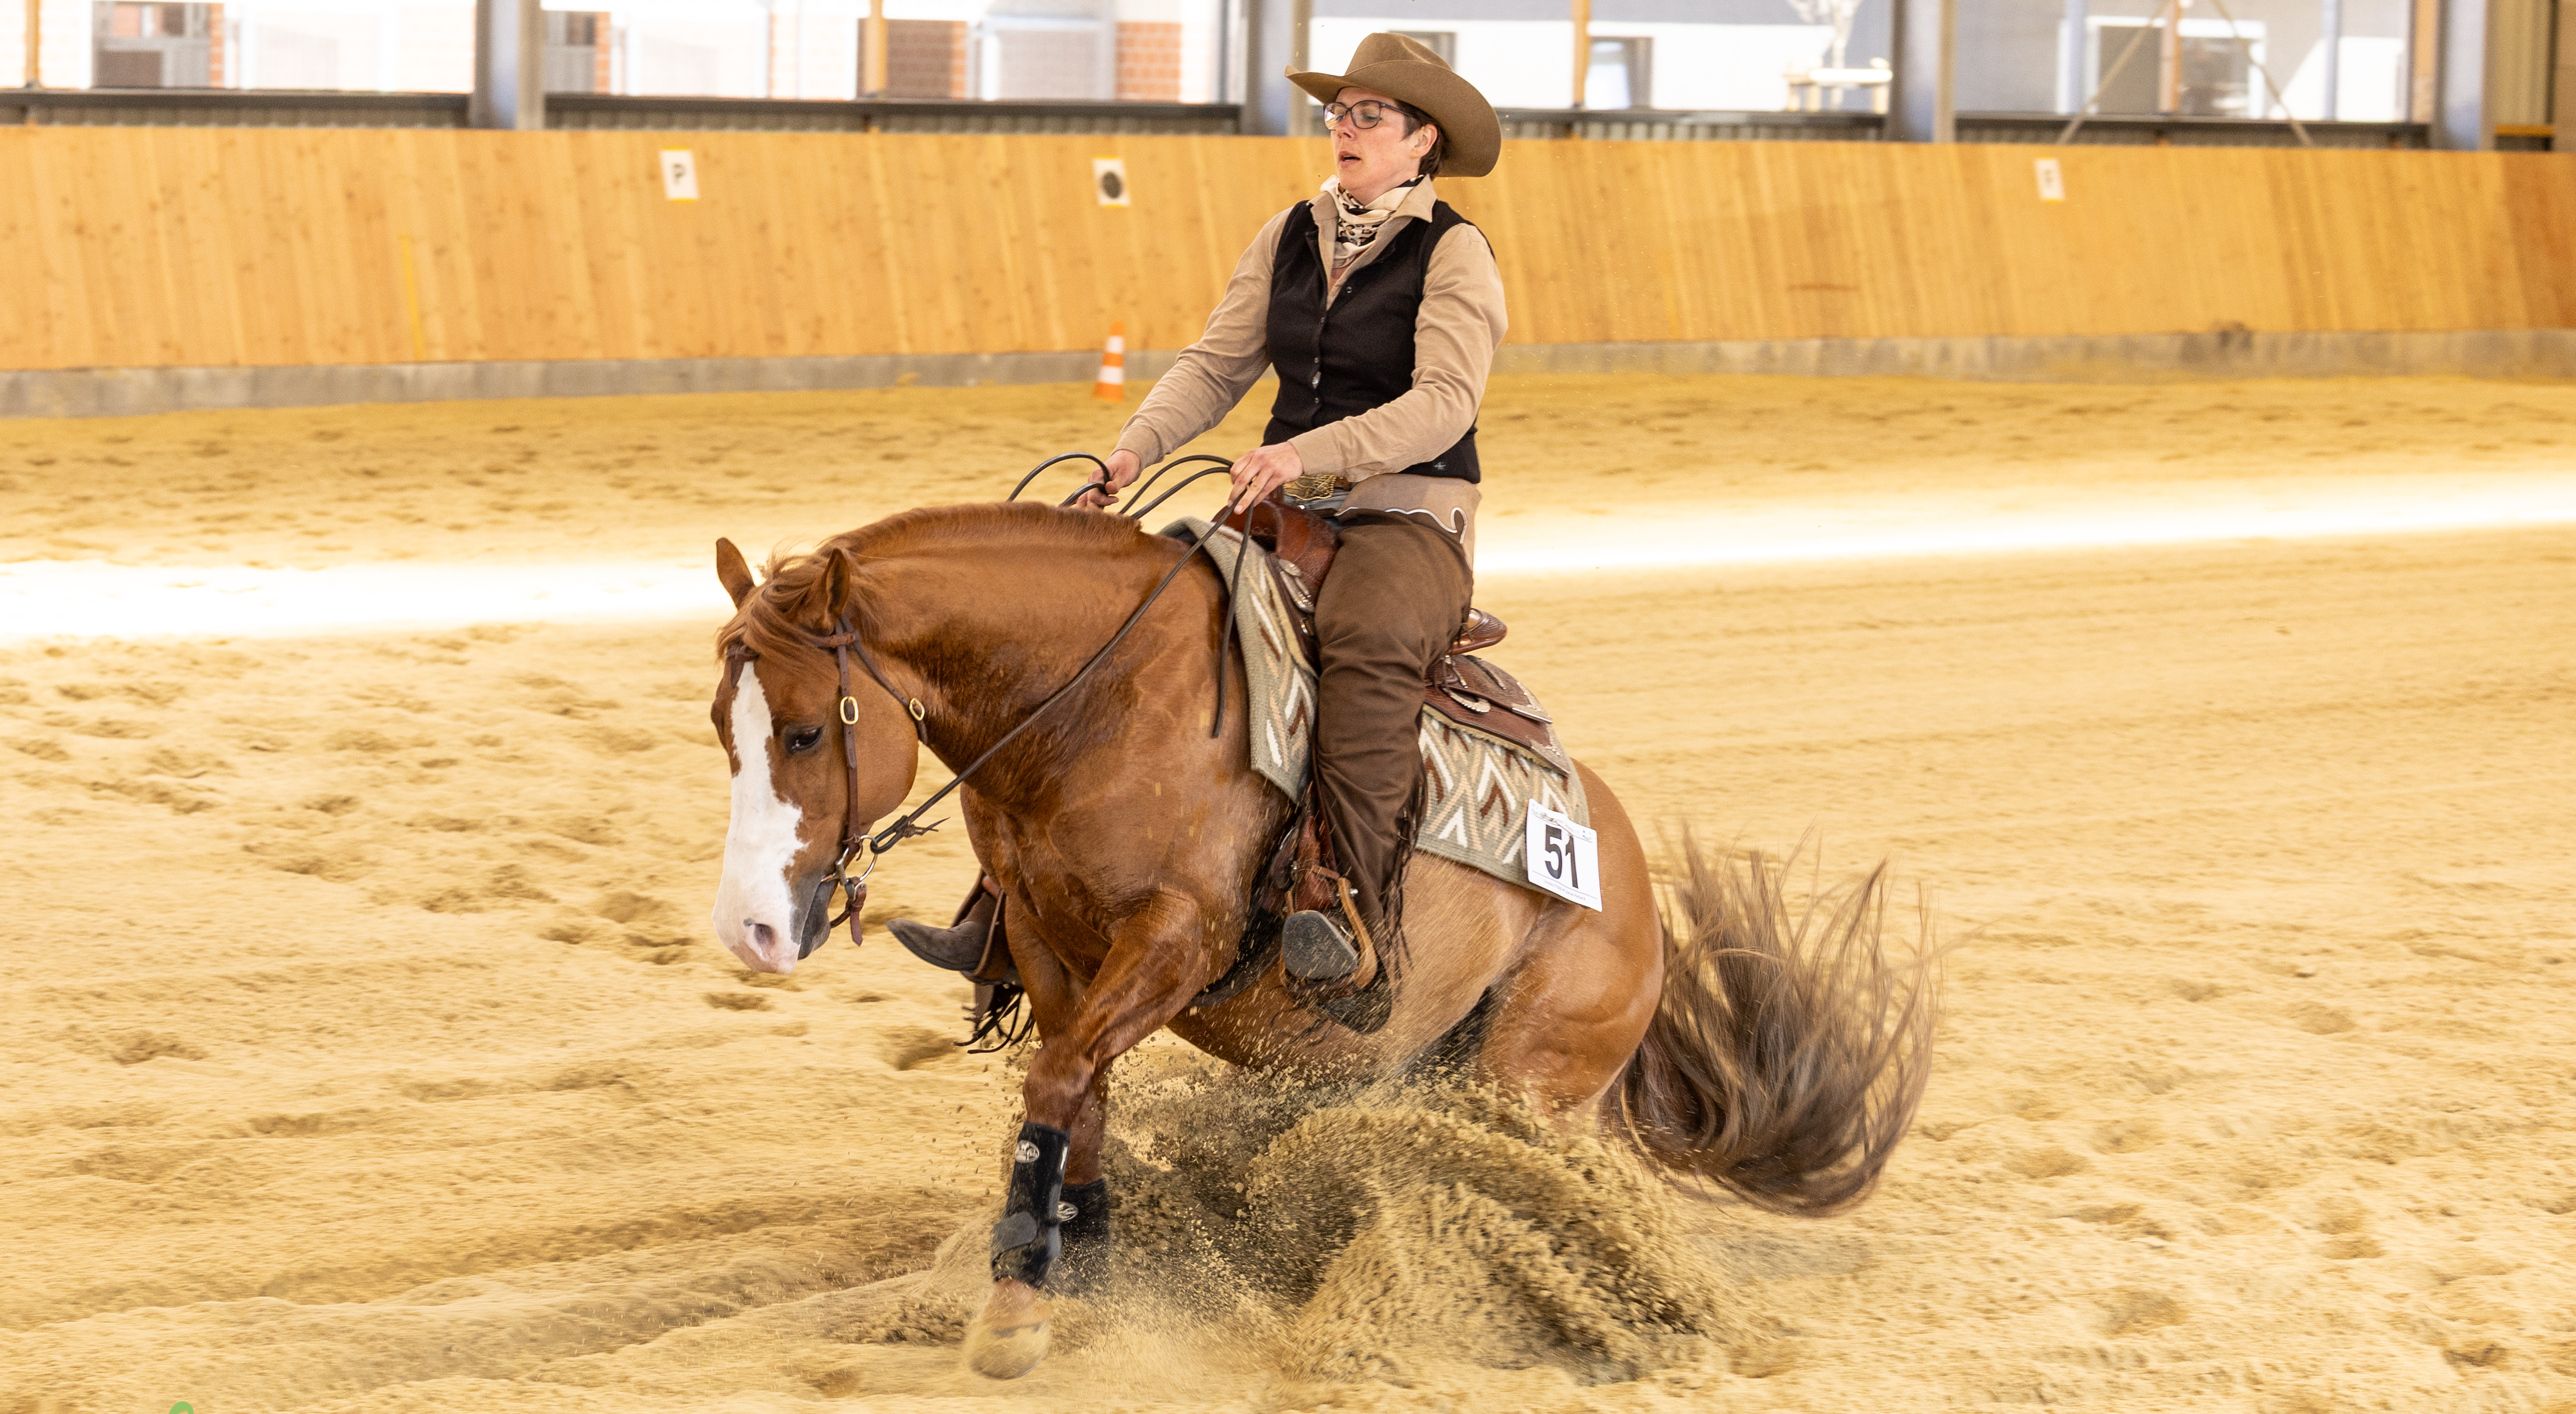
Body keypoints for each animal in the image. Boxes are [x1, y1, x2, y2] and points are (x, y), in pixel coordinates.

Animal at [706, 500, 1934, 1380]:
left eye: (808, 730)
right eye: (725, 726)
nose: (749, 928)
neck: (1096, 702)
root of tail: (1633, 889)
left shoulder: (1178, 941)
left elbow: (1055, 1084)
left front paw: (1017, 1294)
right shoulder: (1051, 948)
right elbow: (1075, 1095)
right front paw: (1075, 1265)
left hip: (1526, 1078)